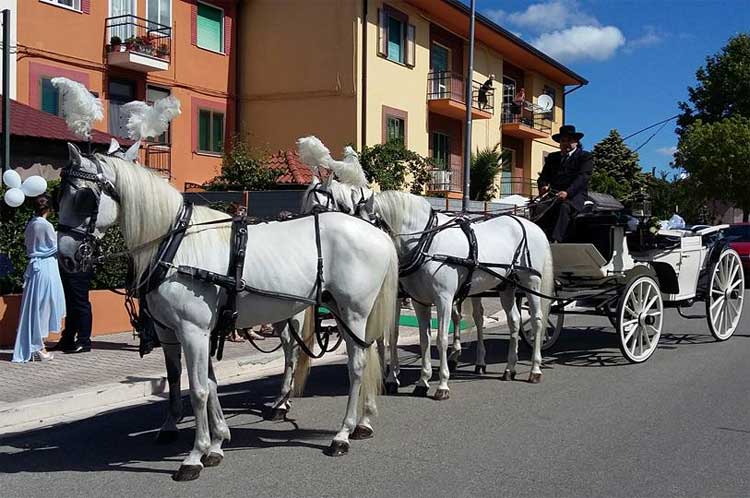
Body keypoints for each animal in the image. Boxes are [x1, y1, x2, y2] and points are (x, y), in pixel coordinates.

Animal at [57, 146, 400, 480]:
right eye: (61, 194)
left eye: (84, 197)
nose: (66, 257)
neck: (175, 245)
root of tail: (378, 234)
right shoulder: (177, 332)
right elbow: (201, 383)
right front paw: (216, 442)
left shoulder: (193, 331)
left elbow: (197, 390)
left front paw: (195, 456)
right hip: (340, 313)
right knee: (359, 353)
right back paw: (358, 421)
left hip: (354, 312)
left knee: (357, 365)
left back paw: (343, 434)